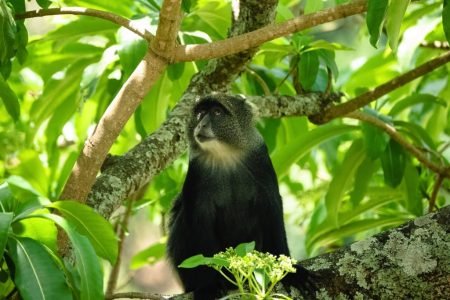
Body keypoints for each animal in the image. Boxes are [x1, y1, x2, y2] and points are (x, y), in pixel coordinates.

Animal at [166, 94, 312, 300]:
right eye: (201, 113)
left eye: (217, 112)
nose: (201, 125)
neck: (225, 155)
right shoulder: (197, 172)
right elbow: (196, 220)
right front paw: (207, 285)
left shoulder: (260, 160)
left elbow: (272, 209)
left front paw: (292, 273)